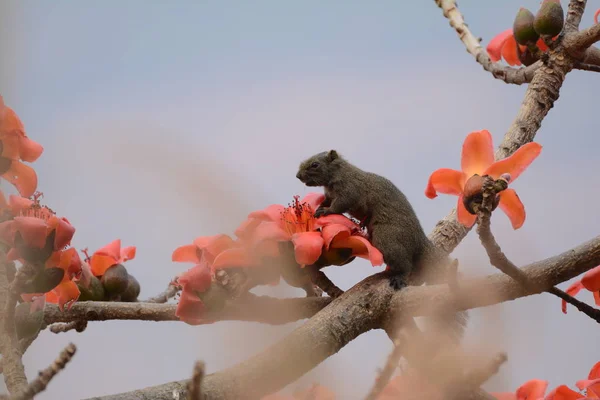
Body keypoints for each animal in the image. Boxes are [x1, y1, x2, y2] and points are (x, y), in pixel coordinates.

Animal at [296, 149, 468, 340]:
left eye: (315, 165)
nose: (298, 176)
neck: (340, 172)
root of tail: (419, 240)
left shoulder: (349, 191)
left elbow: (339, 205)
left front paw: (326, 211)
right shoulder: (330, 195)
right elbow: (326, 200)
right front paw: (318, 208)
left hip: (387, 239)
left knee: (405, 264)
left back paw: (399, 276)